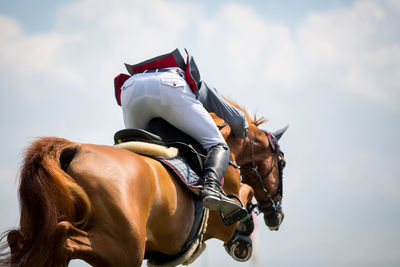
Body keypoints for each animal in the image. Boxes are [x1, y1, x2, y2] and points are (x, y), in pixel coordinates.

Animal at [0, 107, 288, 267]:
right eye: (282, 163)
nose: (278, 216)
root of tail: (73, 149)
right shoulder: (222, 219)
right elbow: (244, 196)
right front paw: (242, 240)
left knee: (20, 242)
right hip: (124, 250)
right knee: (63, 239)